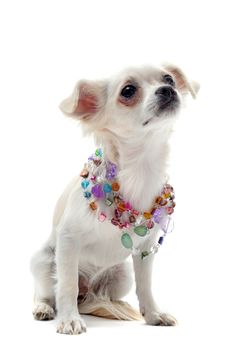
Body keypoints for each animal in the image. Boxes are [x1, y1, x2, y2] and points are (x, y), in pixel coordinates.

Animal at [30, 63, 198, 334]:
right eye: (128, 91)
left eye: (169, 79)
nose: (167, 89)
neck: (140, 170)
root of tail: (88, 292)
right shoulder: (67, 241)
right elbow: (66, 285)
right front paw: (69, 319)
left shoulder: (145, 250)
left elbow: (146, 285)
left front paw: (153, 314)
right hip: (43, 261)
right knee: (48, 291)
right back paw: (44, 308)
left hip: (122, 276)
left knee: (101, 296)